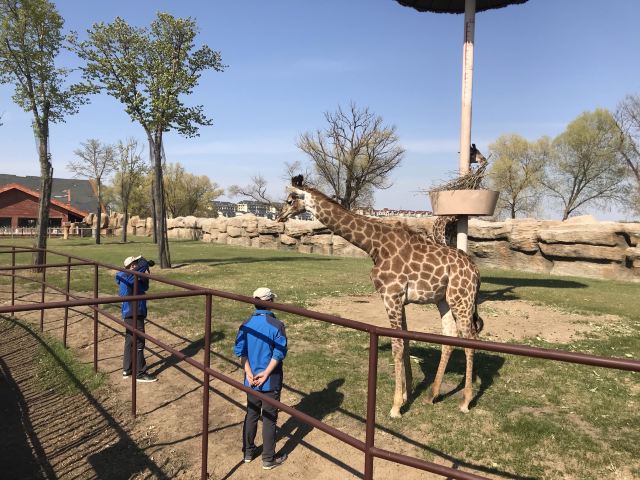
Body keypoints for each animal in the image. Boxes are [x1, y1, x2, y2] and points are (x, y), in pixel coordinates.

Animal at [278, 176, 482, 416]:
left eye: (290, 200)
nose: (280, 216)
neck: (374, 245)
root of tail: (476, 272)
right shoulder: (400, 299)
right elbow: (405, 342)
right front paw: (407, 395)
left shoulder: (391, 295)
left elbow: (397, 347)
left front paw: (395, 406)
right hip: (444, 300)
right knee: (449, 338)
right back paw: (432, 396)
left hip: (462, 299)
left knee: (470, 340)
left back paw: (465, 402)